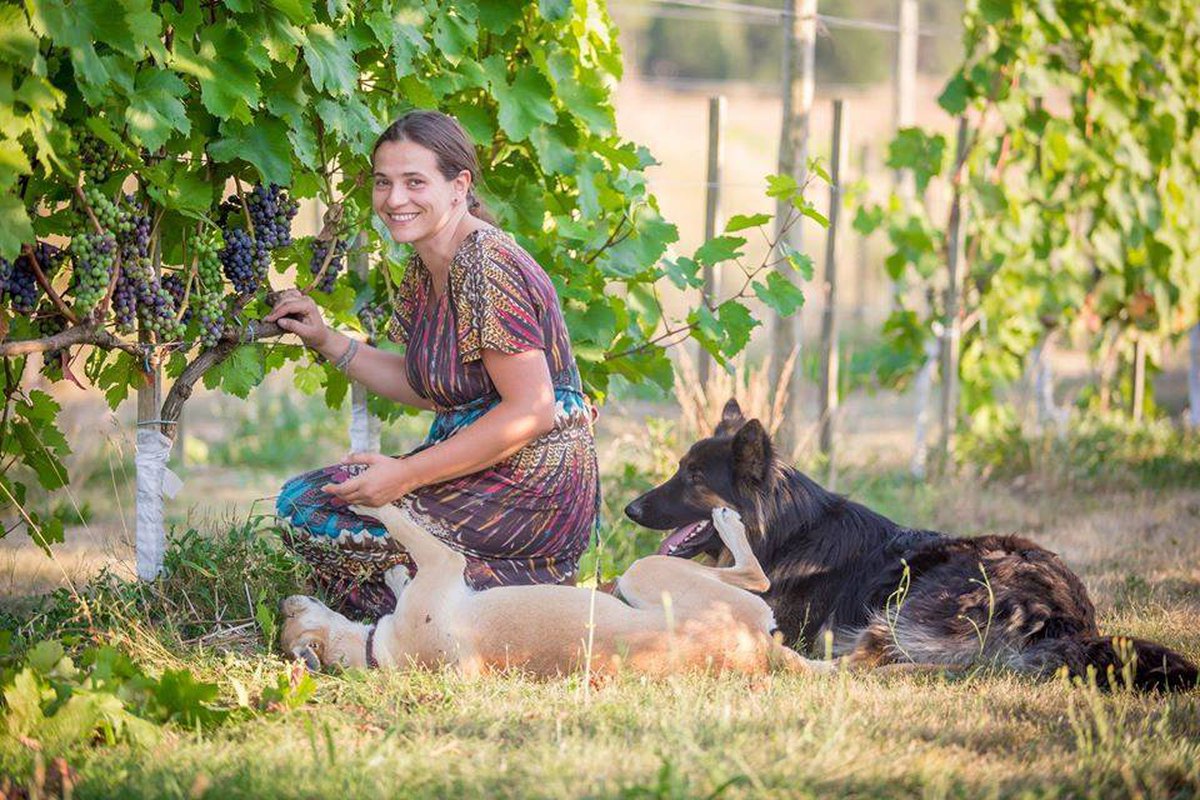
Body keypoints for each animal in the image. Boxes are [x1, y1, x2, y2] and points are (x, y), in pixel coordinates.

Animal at [278, 503, 835, 681]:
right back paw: (726, 519)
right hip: (647, 573)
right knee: (756, 576)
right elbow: (396, 515)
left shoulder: (440, 567)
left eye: (288, 622)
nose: (286, 600)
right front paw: (368, 494)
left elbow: (402, 547)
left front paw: (393, 572)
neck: (380, 652)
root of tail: (762, 650)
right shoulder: (444, 561)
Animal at [628, 402, 1200, 690]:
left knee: (870, 658)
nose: (630, 510)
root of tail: (1070, 621)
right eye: (680, 468)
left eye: (693, 477)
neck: (785, 530)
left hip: (915, 599)